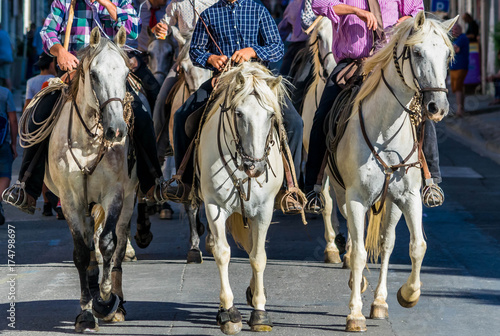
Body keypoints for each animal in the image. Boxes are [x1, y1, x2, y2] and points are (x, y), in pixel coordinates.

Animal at [43, 27, 138, 332]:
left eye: (125, 73)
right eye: (94, 75)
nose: (116, 130)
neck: (88, 143)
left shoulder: (115, 194)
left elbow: (107, 243)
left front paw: (106, 297)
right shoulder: (70, 199)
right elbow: (82, 253)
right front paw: (86, 310)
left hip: (129, 199)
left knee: (118, 241)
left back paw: (116, 301)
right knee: (90, 243)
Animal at [197, 62, 288, 334]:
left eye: (271, 116)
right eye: (238, 114)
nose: (255, 167)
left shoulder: (264, 210)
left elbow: (258, 256)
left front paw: (260, 311)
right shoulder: (214, 207)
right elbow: (222, 252)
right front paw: (229, 312)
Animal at [328, 12, 458, 330]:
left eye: (447, 55)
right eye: (417, 52)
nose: (437, 107)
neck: (385, 130)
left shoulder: (409, 198)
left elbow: (416, 246)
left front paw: (407, 295)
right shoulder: (356, 198)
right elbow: (359, 252)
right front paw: (354, 313)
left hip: (391, 203)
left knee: (386, 244)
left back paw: (378, 301)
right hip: (341, 194)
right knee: (353, 242)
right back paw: (358, 284)